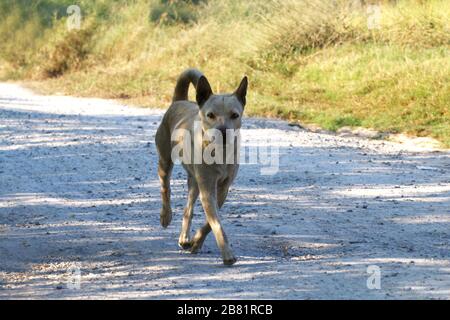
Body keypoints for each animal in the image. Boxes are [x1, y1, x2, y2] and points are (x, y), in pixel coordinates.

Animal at [154, 68, 246, 264]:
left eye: (234, 115)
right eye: (210, 115)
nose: (223, 131)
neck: (219, 153)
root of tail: (179, 101)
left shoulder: (222, 190)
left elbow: (209, 224)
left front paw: (196, 241)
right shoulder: (207, 189)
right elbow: (216, 224)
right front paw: (227, 253)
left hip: (194, 182)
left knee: (188, 209)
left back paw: (185, 238)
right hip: (165, 161)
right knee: (165, 188)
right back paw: (166, 215)